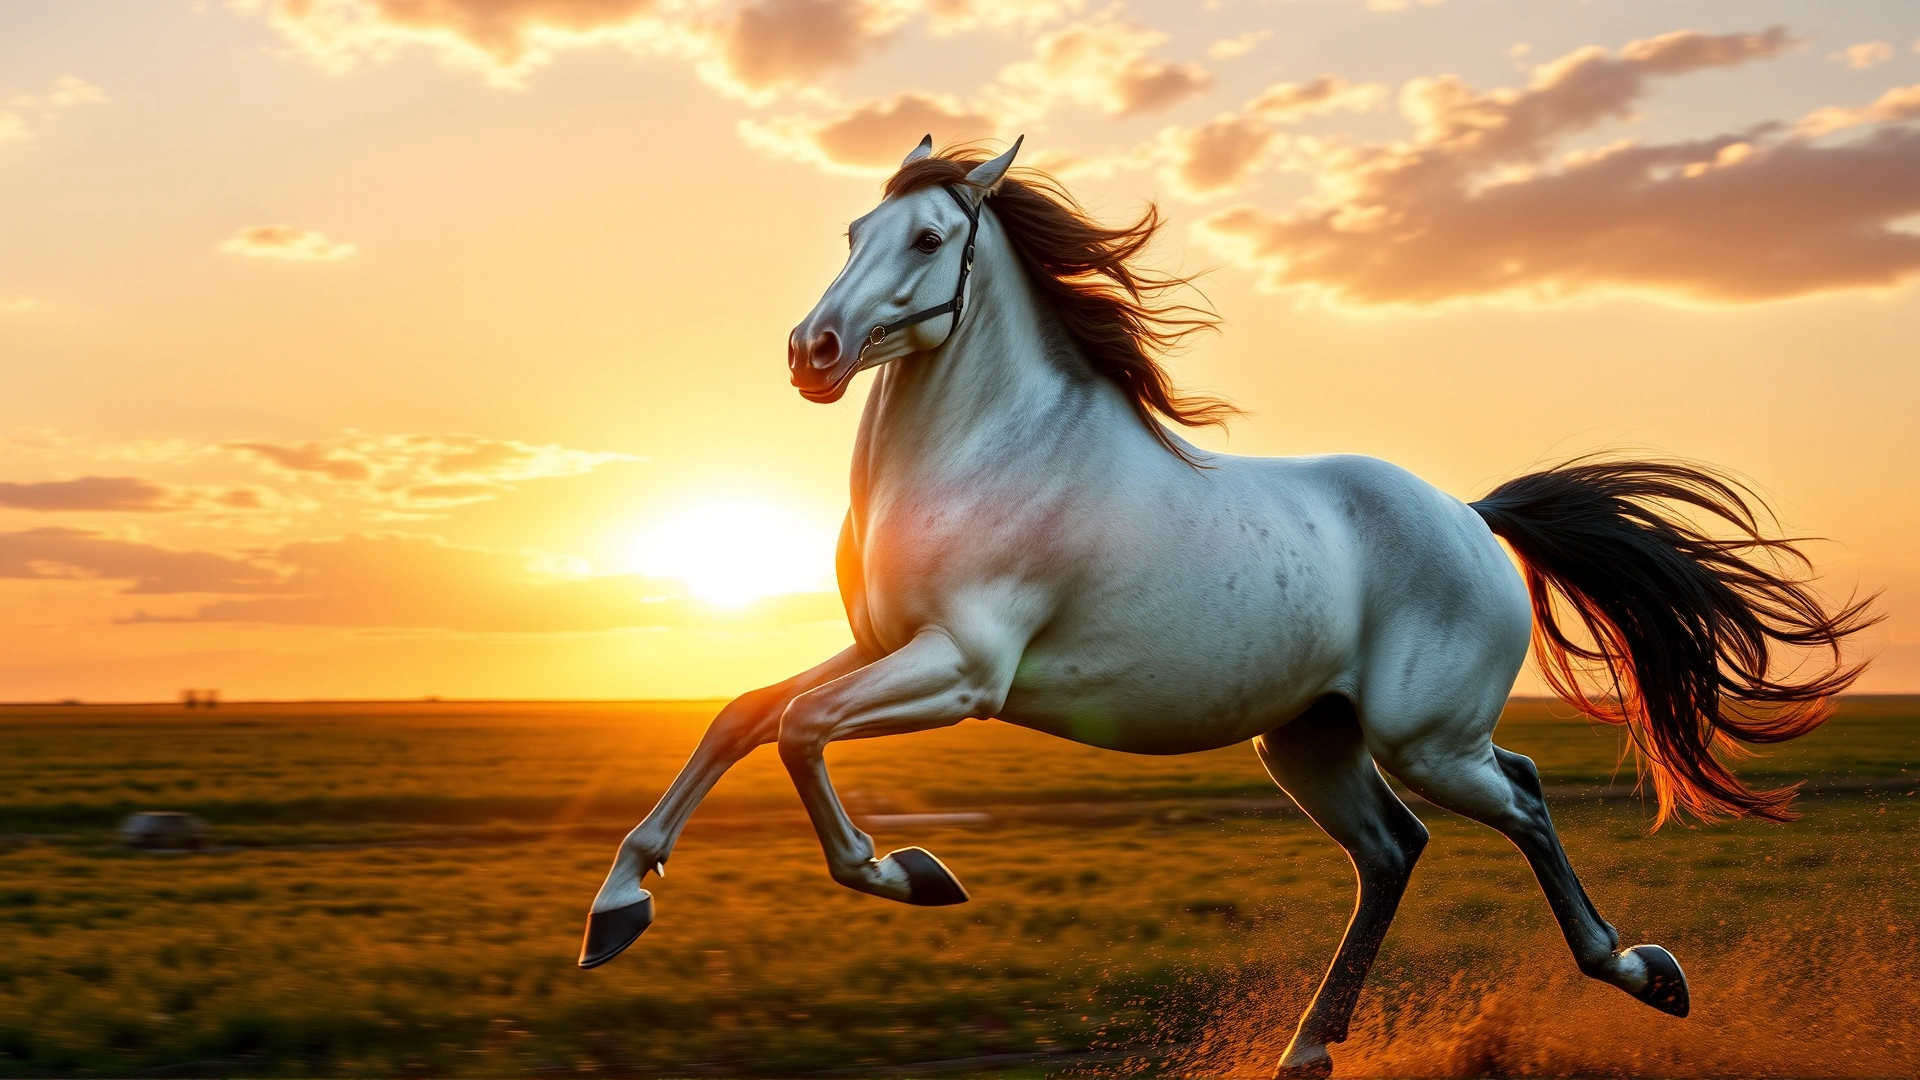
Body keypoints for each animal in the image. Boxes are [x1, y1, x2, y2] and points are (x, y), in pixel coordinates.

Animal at [580, 137, 1875, 1077]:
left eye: (933, 236)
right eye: (855, 231)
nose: (815, 349)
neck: (995, 451)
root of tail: (1471, 513)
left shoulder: (960, 669)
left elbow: (798, 732)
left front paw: (911, 873)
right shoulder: (882, 645)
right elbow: (741, 716)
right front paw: (615, 908)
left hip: (1427, 739)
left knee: (1520, 797)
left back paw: (1645, 973)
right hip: (1307, 740)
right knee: (1393, 850)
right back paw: (1308, 1050)